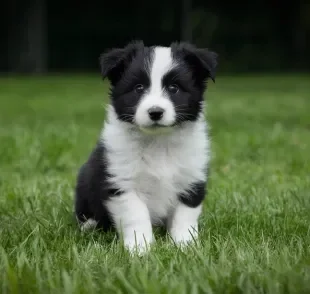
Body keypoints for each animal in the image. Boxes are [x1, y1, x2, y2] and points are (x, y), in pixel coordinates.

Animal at [74, 40, 218, 254]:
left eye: (174, 88)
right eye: (139, 87)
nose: (155, 112)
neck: (158, 143)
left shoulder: (191, 180)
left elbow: (184, 216)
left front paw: (185, 246)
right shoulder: (122, 182)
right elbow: (136, 215)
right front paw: (140, 249)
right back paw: (89, 226)